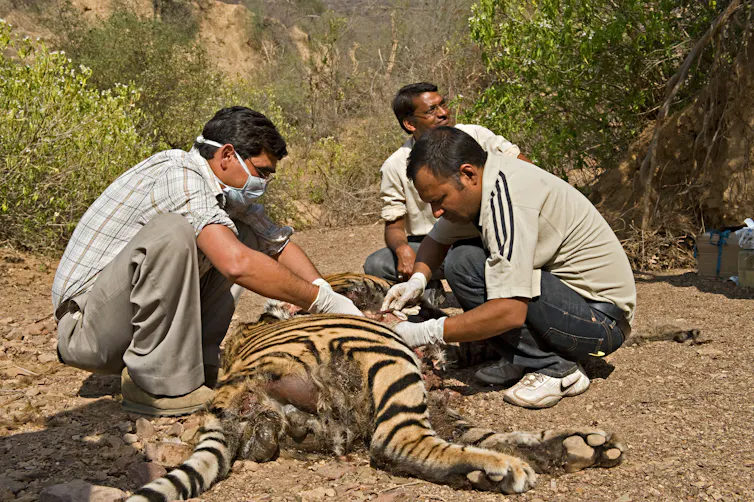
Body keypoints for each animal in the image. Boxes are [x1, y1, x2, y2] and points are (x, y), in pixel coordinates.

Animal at [125, 274, 624, 501]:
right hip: (387, 354)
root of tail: (230, 390)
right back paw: (501, 470)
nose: (434, 299)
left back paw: (569, 449)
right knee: (396, 442)